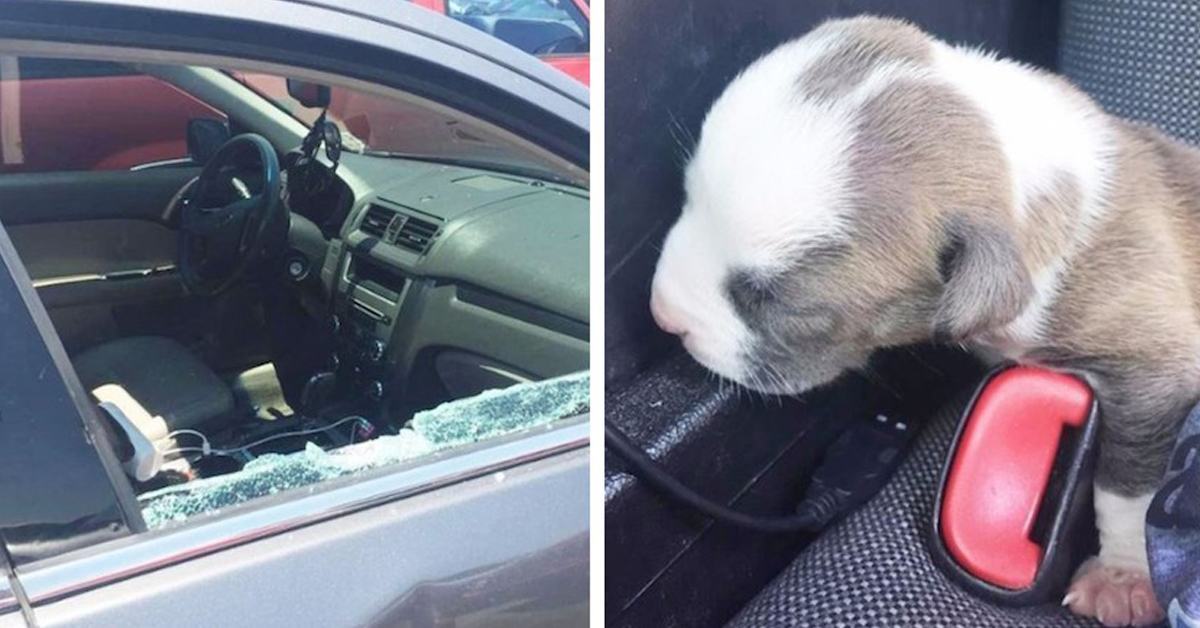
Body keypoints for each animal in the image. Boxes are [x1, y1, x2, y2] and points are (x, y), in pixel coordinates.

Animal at [652, 14, 1200, 628]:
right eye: (685, 200)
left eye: (779, 305)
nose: (662, 314)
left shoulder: (1153, 366)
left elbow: (1129, 485)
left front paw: (1123, 574)